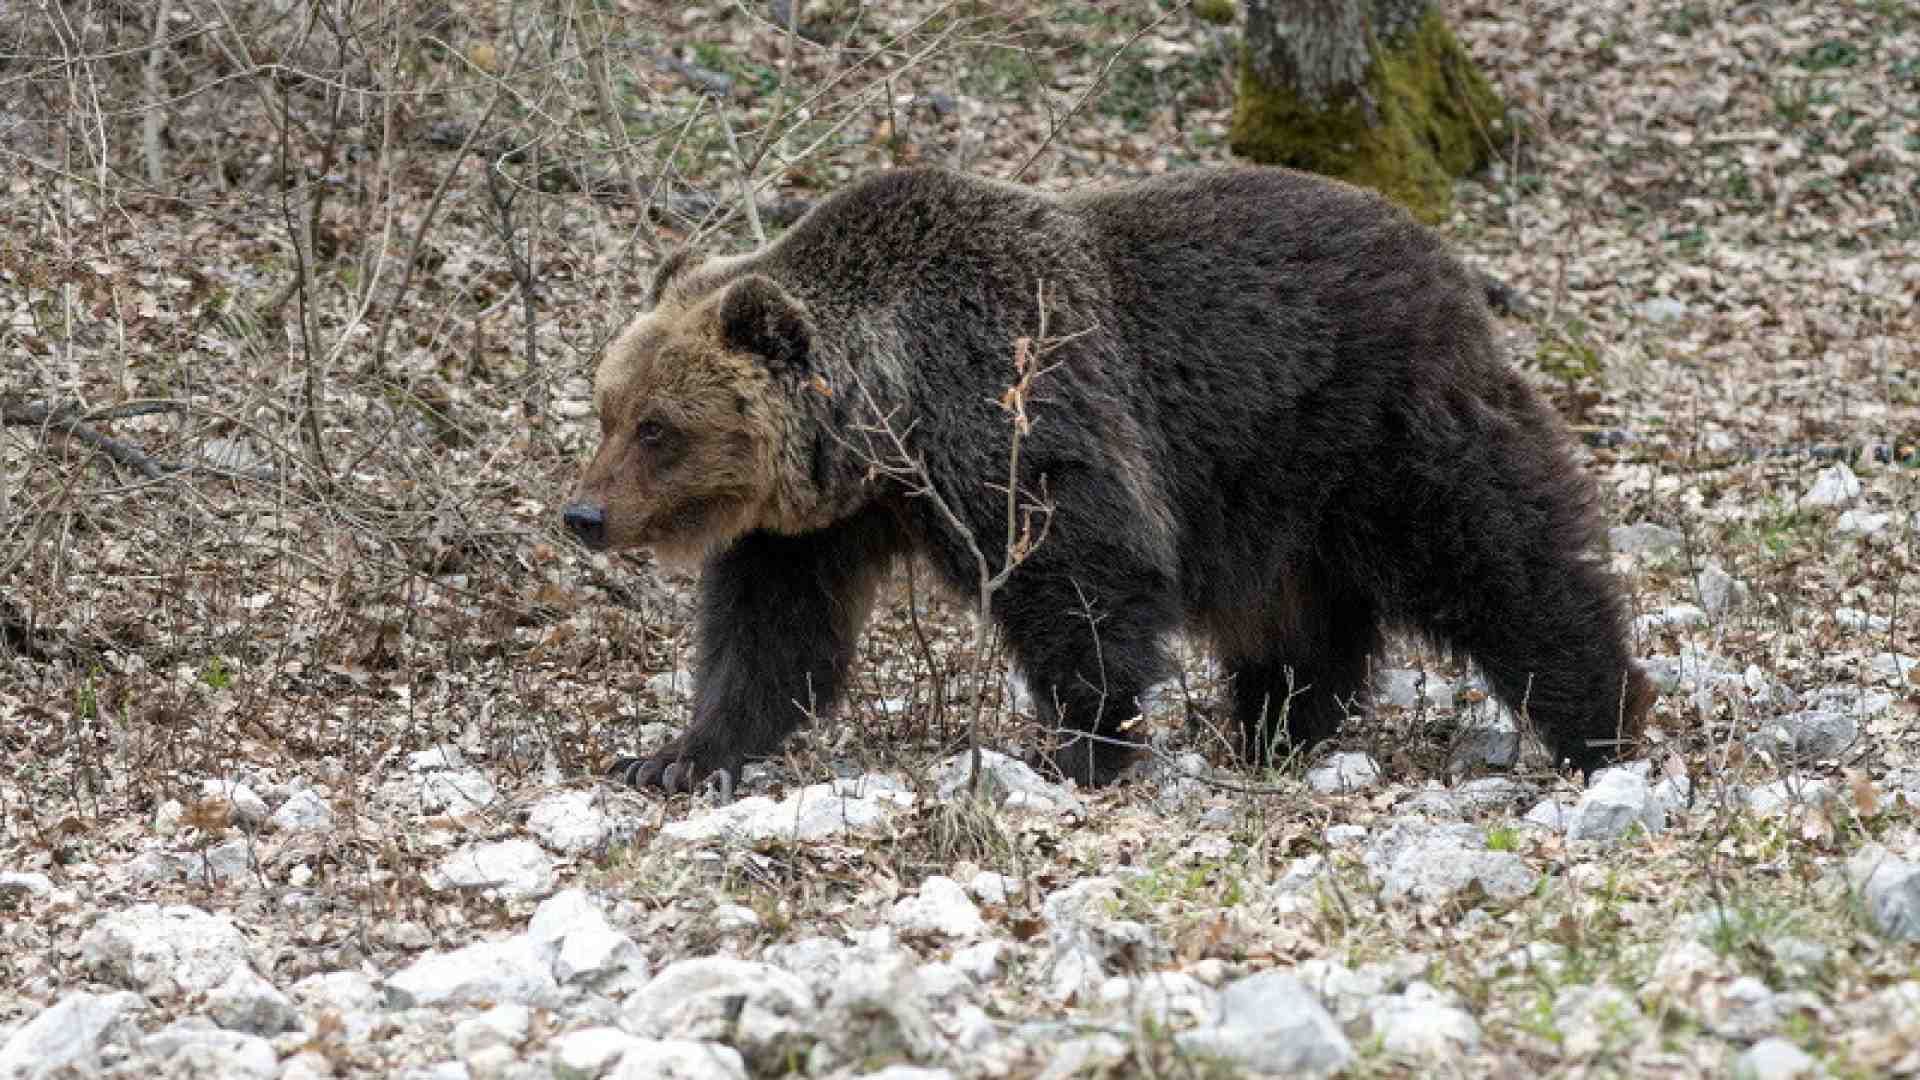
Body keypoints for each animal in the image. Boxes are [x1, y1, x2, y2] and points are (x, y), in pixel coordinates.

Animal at [564, 165, 1653, 793]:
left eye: (659, 427)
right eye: (608, 409)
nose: (583, 512)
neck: (890, 418)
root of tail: (1441, 253)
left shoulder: (1020, 413)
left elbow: (1084, 575)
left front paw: (1080, 746)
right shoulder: (816, 522)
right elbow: (771, 633)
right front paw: (674, 755)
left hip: (1377, 422)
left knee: (1497, 550)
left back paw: (1599, 715)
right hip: (1274, 486)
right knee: (1297, 612)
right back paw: (1272, 729)